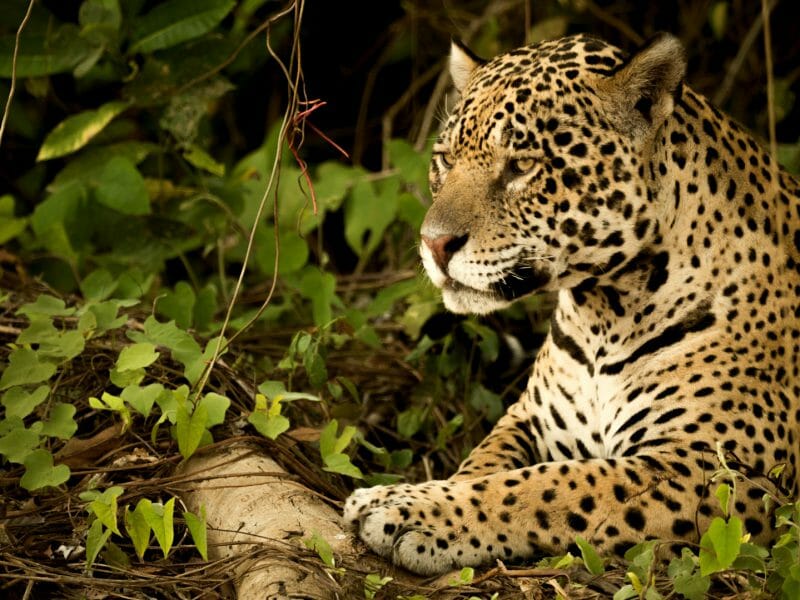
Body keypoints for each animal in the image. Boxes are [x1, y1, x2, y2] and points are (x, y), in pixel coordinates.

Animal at [344, 31, 800, 576]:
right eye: (446, 160)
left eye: (521, 165)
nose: (433, 243)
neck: (604, 311)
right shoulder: (528, 417)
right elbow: (486, 465)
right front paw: (432, 496)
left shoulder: (723, 469)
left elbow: (548, 486)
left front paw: (406, 508)